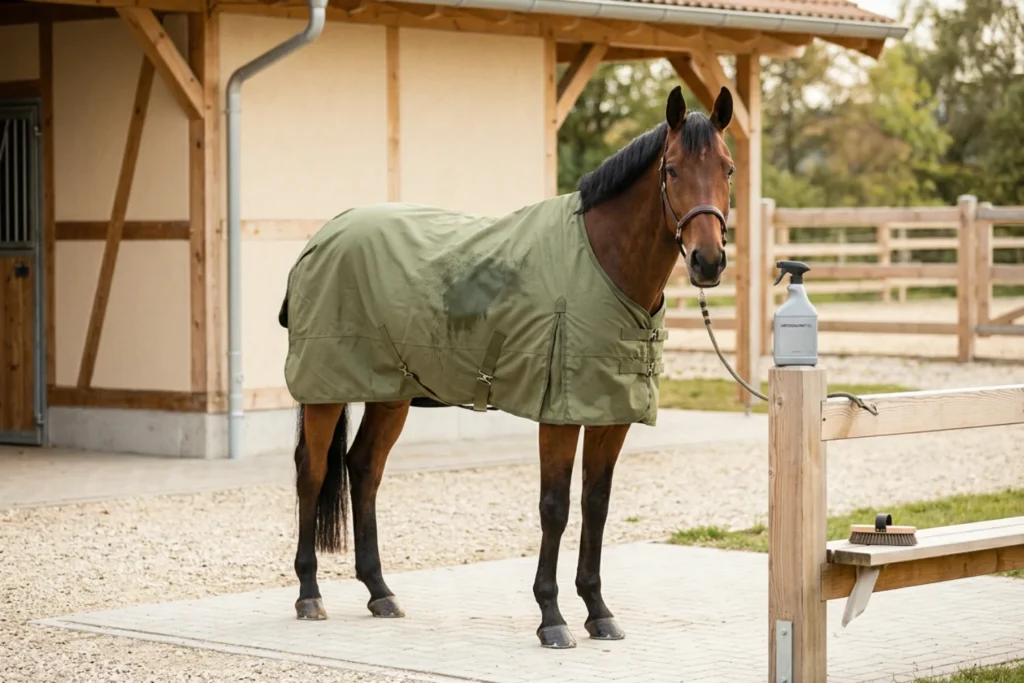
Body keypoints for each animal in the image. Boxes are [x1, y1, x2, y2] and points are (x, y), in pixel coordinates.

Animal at [277, 84, 735, 649]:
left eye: (728, 168)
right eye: (671, 169)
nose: (708, 261)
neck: (601, 261)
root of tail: (324, 235)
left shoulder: (611, 414)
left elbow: (596, 505)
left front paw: (599, 611)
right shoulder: (559, 415)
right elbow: (554, 508)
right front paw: (552, 618)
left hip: (392, 393)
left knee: (363, 468)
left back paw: (380, 592)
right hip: (326, 389)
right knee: (313, 471)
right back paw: (309, 594)